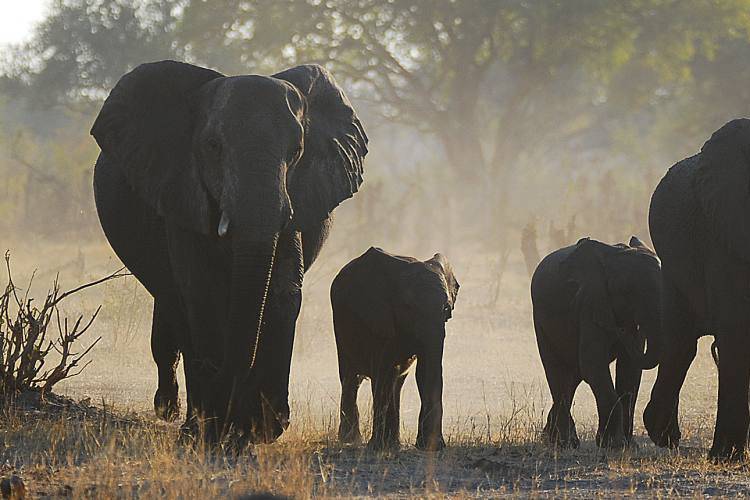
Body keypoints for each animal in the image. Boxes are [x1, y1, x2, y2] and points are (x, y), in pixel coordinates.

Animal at [91, 59, 370, 446]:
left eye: (296, 151)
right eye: (212, 146)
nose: (231, 409)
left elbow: (282, 291)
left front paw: (262, 430)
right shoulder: (183, 193)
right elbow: (201, 290)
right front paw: (208, 431)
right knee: (172, 303)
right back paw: (174, 414)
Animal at [332, 248, 462, 452]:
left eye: (446, 309)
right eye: (409, 308)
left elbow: (425, 372)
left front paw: (431, 447)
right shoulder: (378, 317)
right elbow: (381, 371)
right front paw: (377, 447)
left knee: (396, 382)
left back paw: (393, 443)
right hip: (341, 327)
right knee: (351, 377)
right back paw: (352, 440)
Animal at [532, 237, 660, 450]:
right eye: (626, 291)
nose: (621, 331)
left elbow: (630, 370)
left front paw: (628, 445)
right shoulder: (589, 304)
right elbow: (593, 364)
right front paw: (613, 444)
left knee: (572, 377)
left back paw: (551, 438)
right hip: (541, 324)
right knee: (558, 373)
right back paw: (565, 443)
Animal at [644, 118, 750, 460]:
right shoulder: (721, 233)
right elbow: (735, 328)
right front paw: (726, 457)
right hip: (672, 264)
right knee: (681, 343)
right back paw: (665, 437)